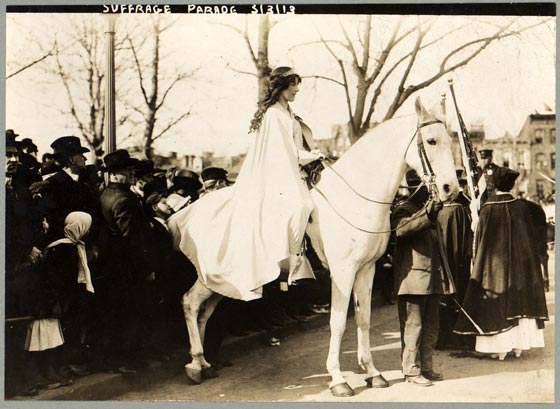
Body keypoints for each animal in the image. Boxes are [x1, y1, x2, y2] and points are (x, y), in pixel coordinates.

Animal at [172, 95, 460, 396]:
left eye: (450, 139)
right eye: (431, 141)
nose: (451, 188)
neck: (354, 199)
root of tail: (189, 211)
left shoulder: (366, 269)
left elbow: (364, 319)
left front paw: (372, 372)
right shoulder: (342, 273)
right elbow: (338, 322)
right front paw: (338, 379)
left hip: (224, 283)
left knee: (204, 312)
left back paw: (204, 363)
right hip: (213, 277)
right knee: (190, 303)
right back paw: (195, 366)